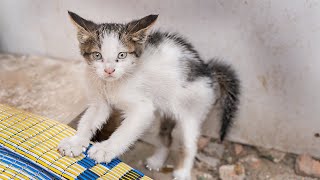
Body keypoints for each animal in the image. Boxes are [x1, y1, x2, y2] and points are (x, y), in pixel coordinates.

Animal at [58, 11, 240, 179]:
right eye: (97, 55)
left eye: (122, 55)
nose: (109, 70)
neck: (111, 84)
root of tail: (207, 70)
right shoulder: (99, 103)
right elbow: (87, 121)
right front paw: (75, 142)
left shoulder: (142, 109)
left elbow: (124, 131)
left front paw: (105, 149)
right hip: (161, 111)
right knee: (165, 139)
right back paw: (157, 161)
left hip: (192, 112)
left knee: (189, 145)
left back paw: (182, 172)